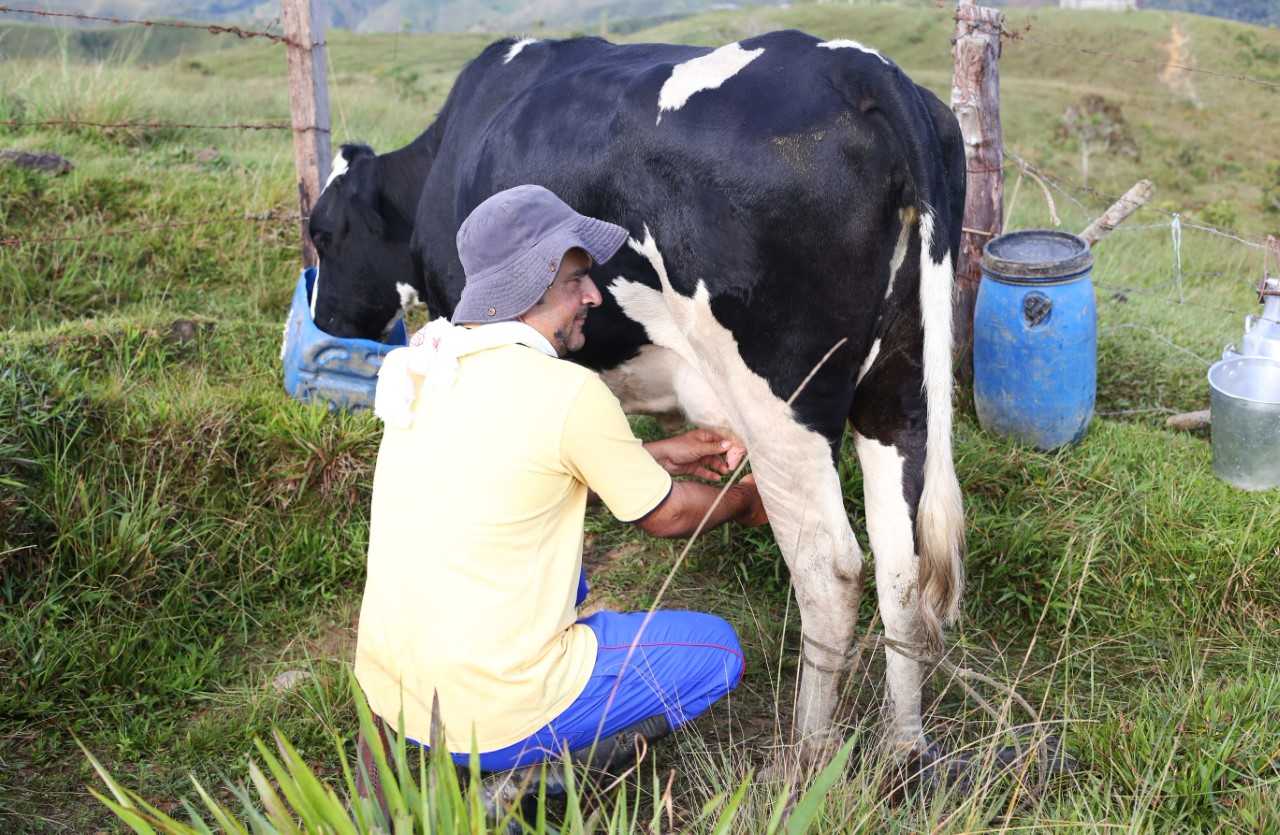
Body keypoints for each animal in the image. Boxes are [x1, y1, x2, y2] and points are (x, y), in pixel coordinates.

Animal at [312, 31, 967, 763]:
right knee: (901, 567)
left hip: (782, 402)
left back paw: (803, 760)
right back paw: (902, 747)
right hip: (899, 391)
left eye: (325, 232)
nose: (323, 318)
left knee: (829, 569)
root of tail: (861, 67)